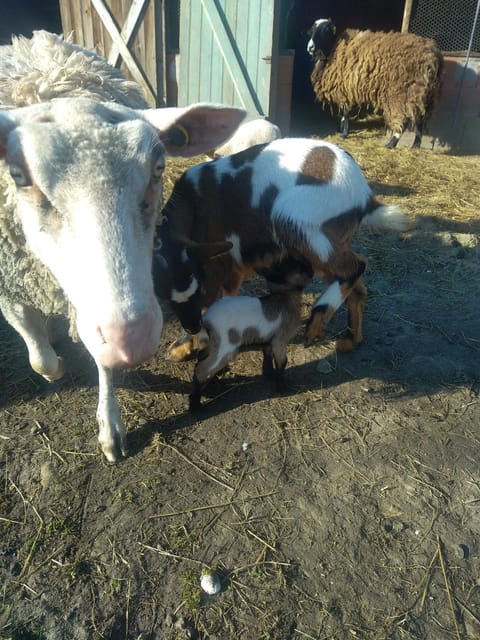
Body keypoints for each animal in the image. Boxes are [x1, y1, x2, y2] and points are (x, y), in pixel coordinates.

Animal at [0, 31, 246, 460]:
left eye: (159, 167)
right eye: (18, 176)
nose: (132, 339)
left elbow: (96, 362)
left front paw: (109, 426)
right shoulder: (9, 289)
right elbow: (40, 361)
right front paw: (56, 365)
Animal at [155, 138, 412, 362]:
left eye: (198, 290)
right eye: (166, 299)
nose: (192, 326)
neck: (192, 206)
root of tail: (364, 196)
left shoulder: (216, 266)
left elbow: (209, 303)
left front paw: (184, 346)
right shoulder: (231, 265)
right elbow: (226, 297)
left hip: (295, 219)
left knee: (356, 266)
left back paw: (316, 320)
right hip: (327, 244)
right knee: (356, 283)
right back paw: (351, 339)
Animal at [188, 256, 312, 410]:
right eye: (296, 266)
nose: (311, 268)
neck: (284, 297)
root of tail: (207, 319)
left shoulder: (268, 338)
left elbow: (267, 355)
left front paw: (269, 374)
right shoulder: (280, 340)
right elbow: (282, 362)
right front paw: (282, 387)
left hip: (213, 344)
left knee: (201, 361)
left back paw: (210, 387)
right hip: (224, 349)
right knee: (201, 370)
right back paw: (195, 406)